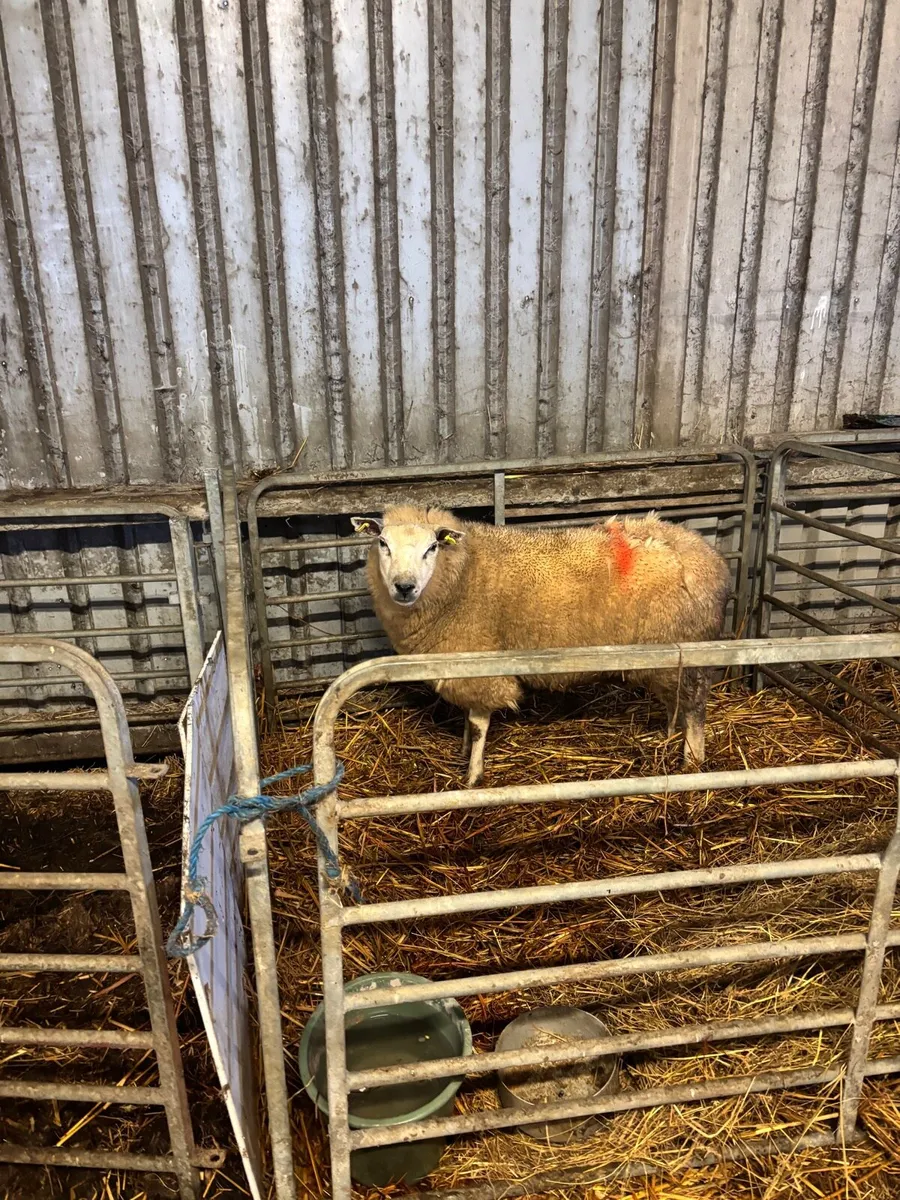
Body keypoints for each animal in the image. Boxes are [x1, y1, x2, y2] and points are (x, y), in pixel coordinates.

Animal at [351, 504, 732, 788]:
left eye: (432, 548)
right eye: (382, 543)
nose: (404, 586)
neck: (463, 575)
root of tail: (707, 554)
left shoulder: (482, 665)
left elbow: (479, 724)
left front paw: (473, 776)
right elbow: (468, 719)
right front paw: (462, 751)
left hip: (689, 647)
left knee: (694, 706)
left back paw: (691, 760)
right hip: (664, 653)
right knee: (675, 699)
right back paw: (666, 737)